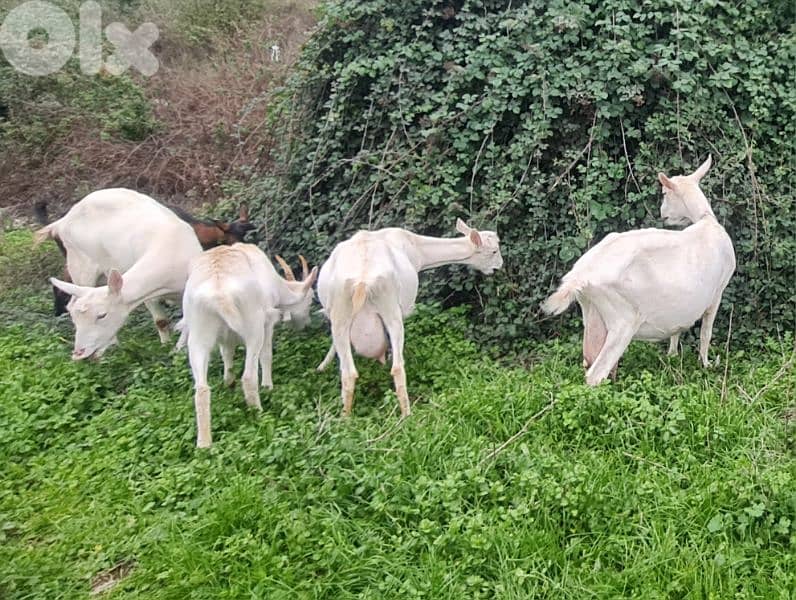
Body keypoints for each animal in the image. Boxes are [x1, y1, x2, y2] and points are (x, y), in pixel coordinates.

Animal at [35, 188, 204, 359]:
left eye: (102, 315)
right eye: (76, 320)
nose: (79, 353)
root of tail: (60, 222)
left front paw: (178, 350)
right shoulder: (148, 294)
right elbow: (161, 321)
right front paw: (168, 347)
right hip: (79, 264)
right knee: (72, 300)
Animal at [176, 245, 317, 448]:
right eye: (311, 299)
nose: (306, 324)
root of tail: (219, 293)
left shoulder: (226, 338)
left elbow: (227, 354)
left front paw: (228, 382)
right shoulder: (268, 322)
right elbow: (266, 355)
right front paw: (267, 386)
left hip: (198, 334)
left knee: (201, 388)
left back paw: (204, 444)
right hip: (253, 327)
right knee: (249, 377)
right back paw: (259, 414)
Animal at [317, 219, 503, 417]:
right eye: (494, 251)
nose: (499, 266)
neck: (417, 248)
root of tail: (362, 281)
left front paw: (322, 366)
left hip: (342, 312)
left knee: (348, 372)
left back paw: (345, 417)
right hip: (391, 308)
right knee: (397, 367)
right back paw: (407, 415)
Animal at [542, 156, 736, 385]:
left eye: (664, 193)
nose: (663, 215)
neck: (706, 221)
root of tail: (580, 276)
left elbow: (677, 331)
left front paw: (672, 355)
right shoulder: (718, 292)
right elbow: (706, 332)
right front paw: (705, 364)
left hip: (591, 315)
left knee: (589, 361)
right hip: (623, 320)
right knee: (596, 373)